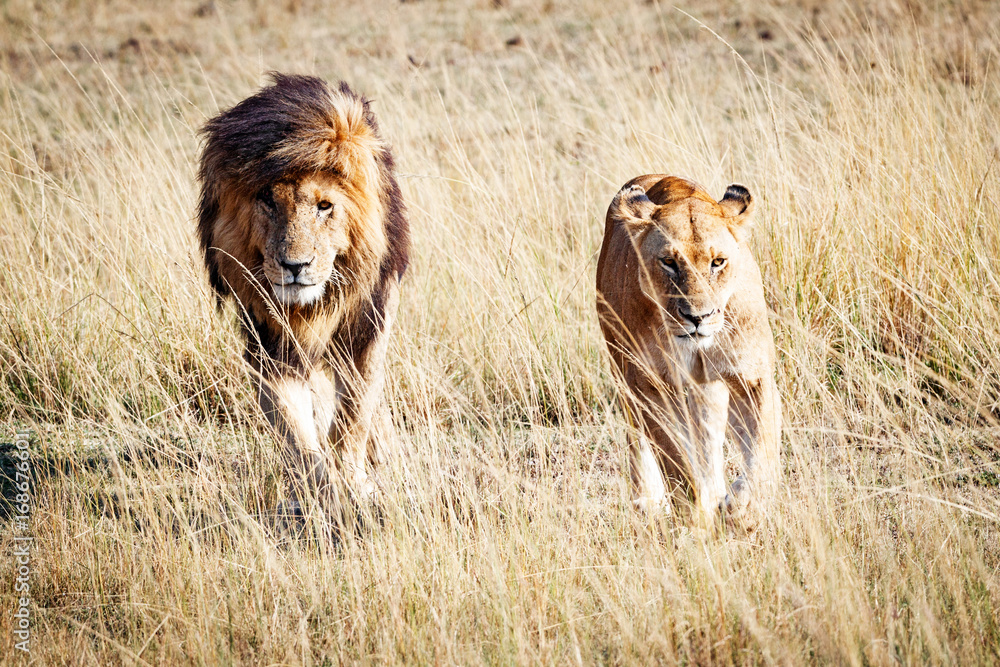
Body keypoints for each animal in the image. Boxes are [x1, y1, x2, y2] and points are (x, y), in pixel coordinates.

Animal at [196, 73, 410, 517]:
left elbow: (352, 418)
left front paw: (354, 488)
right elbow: (295, 435)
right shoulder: (270, 349)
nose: (294, 265)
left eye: (324, 206)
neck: (310, 309)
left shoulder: (367, 332)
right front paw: (324, 497)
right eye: (266, 200)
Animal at [596, 175, 780, 522]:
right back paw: (649, 501)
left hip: (706, 388)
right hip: (621, 367)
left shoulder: (752, 377)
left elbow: (763, 447)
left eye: (718, 262)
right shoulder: (648, 385)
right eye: (669, 262)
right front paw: (698, 509)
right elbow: (675, 460)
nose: (697, 317)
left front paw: (742, 509)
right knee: (639, 437)